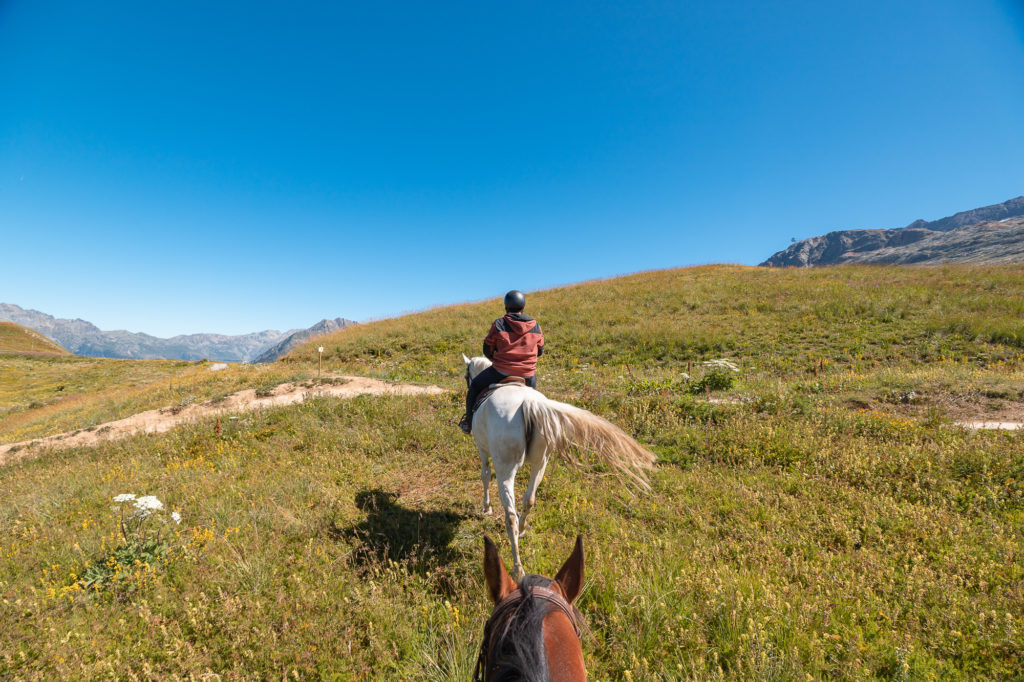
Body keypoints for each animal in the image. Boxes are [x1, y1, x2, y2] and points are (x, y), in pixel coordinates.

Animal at [462, 352, 655, 577]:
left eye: (467, 376)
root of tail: (528, 404)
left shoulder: (482, 448)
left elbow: (485, 475)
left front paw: (486, 508)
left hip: (507, 469)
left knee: (510, 515)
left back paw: (518, 568)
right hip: (540, 463)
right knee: (529, 499)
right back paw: (523, 529)